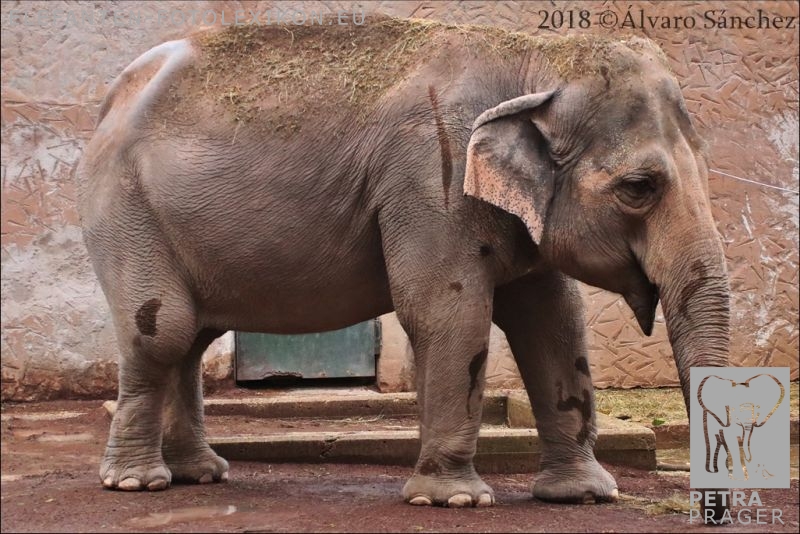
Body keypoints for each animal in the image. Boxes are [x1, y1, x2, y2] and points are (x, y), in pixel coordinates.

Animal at [77, 17, 731, 514]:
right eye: (639, 188)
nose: (708, 507)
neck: (535, 61)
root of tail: (109, 103)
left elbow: (554, 324)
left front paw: (585, 496)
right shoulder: (429, 177)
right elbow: (448, 313)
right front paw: (455, 500)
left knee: (191, 337)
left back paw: (202, 474)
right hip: (123, 210)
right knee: (164, 331)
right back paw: (137, 482)